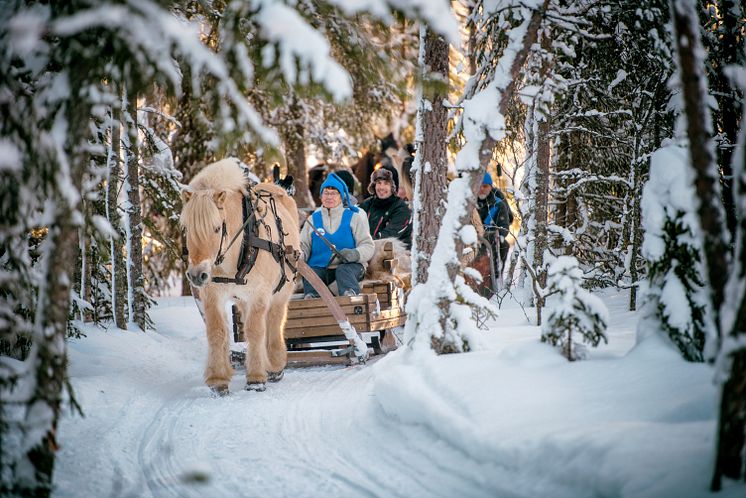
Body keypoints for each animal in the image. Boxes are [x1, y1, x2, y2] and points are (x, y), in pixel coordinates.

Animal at [180, 158, 300, 394]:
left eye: (217, 228)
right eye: (187, 228)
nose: (197, 275)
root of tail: (278, 187)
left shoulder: (259, 294)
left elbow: (255, 331)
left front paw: (256, 378)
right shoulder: (212, 295)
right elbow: (217, 332)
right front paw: (218, 380)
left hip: (281, 290)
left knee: (274, 321)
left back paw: (275, 364)